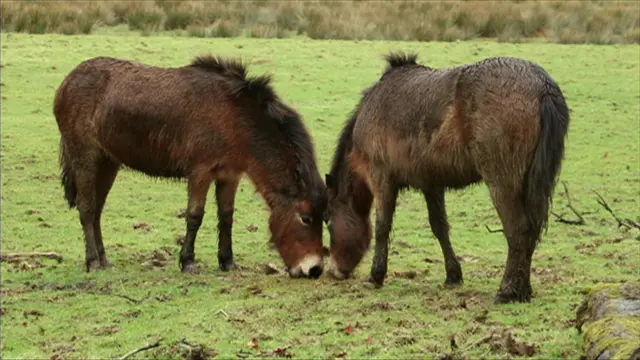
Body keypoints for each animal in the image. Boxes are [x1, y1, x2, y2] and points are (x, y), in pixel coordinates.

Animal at [52, 54, 328, 278]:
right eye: (305, 218)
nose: (314, 269)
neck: (234, 116)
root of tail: (67, 82)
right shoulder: (201, 171)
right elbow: (195, 215)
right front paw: (188, 262)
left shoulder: (230, 174)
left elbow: (226, 216)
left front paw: (227, 261)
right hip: (86, 158)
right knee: (87, 209)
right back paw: (93, 262)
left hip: (108, 162)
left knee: (97, 210)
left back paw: (104, 260)